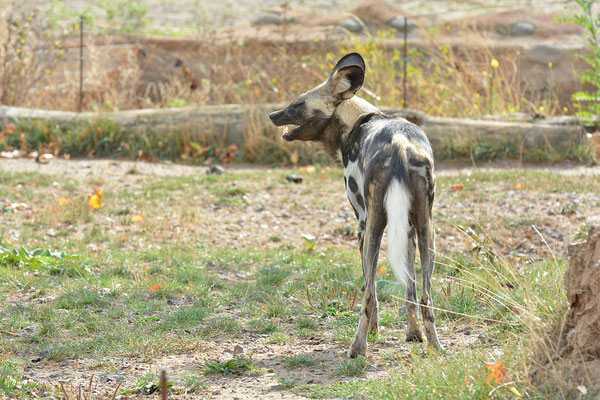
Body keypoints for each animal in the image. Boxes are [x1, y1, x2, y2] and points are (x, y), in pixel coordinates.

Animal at [270, 52, 442, 356]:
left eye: (298, 103)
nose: (271, 115)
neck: (357, 121)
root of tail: (399, 142)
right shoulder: (409, 230)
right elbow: (410, 290)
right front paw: (414, 334)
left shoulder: (361, 223)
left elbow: (369, 289)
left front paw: (373, 332)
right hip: (426, 230)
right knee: (426, 295)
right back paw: (435, 346)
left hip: (372, 226)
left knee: (369, 293)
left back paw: (357, 348)